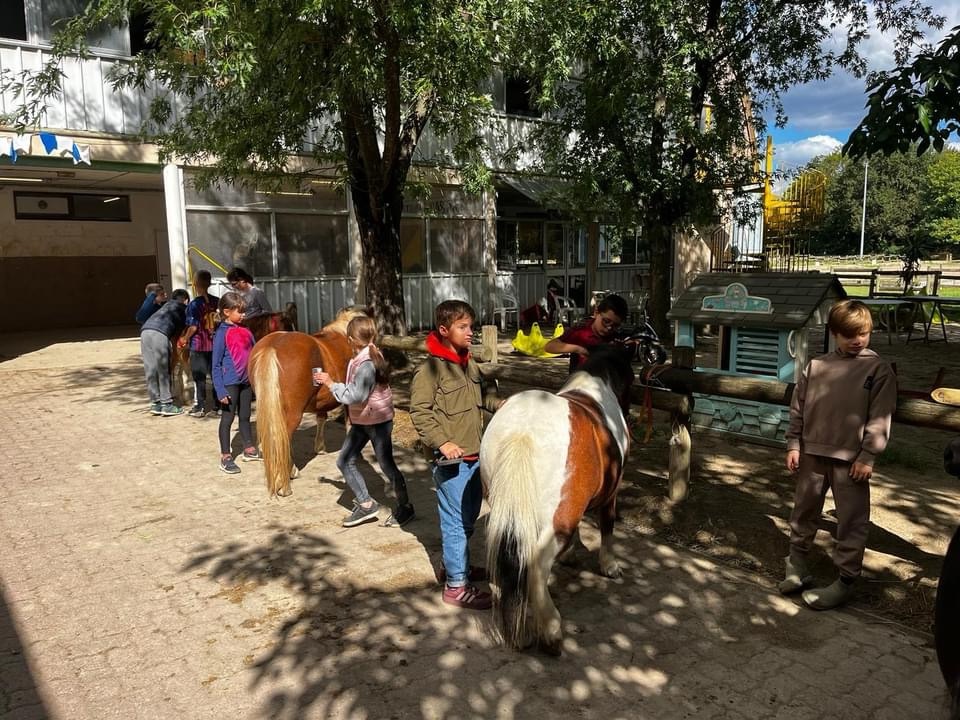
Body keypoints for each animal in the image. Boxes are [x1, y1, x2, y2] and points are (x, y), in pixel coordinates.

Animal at [248, 306, 368, 498]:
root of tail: (272, 346)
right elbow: (350, 424)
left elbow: (321, 417)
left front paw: (319, 446)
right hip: (292, 414)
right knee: (281, 439)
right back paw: (284, 484)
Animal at [480, 346, 636, 656]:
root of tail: (523, 428)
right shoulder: (611, 492)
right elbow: (608, 525)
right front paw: (609, 566)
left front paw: (571, 555)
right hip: (556, 522)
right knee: (535, 565)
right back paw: (551, 631)